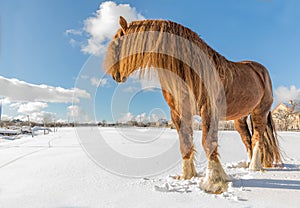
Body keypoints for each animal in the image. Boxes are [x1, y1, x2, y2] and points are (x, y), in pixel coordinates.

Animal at [104, 16, 282, 193]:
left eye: (118, 42)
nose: (115, 75)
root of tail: (261, 71)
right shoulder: (178, 113)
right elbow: (185, 143)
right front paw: (187, 176)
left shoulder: (208, 109)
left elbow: (208, 143)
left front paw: (214, 182)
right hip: (240, 118)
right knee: (247, 139)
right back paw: (249, 165)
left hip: (260, 112)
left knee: (257, 138)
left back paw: (254, 167)